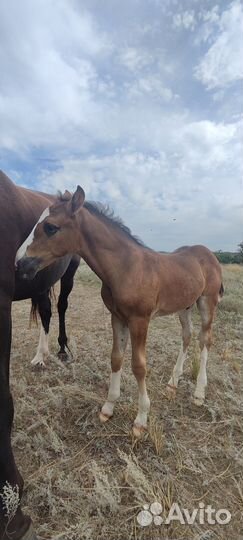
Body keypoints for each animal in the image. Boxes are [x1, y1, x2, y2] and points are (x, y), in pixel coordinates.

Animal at [17, 186, 224, 438]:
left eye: (50, 227)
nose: (20, 263)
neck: (126, 268)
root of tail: (209, 253)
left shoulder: (140, 320)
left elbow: (138, 365)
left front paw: (141, 419)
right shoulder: (117, 317)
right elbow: (116, 358)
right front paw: (108, 408)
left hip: (207, 302)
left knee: (205, 340)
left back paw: (199, 393)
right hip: (184, 305)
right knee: (187, 336)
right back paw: (172, 384)